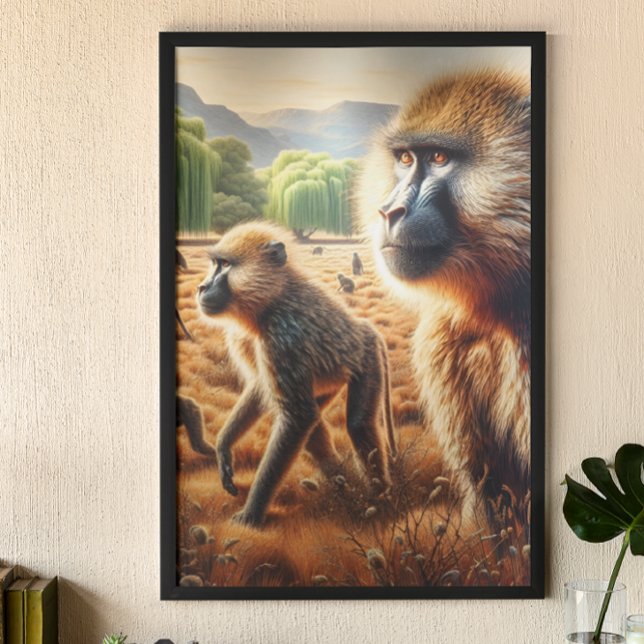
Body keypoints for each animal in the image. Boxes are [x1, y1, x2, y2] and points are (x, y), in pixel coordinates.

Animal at [196, 222, 396, 527]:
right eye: (215, 264)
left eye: (226, 265)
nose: (202, 287)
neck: (269, 301)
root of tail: (367, 330)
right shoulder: (245, 339)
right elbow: (263, 390)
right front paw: (223, 447)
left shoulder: (283, 338)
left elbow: (298, 417)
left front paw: (252, 515)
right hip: (328, 382)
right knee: (315, 430)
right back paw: (344, 489)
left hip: (367, 361)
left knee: (358, 425)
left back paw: (380, 504)